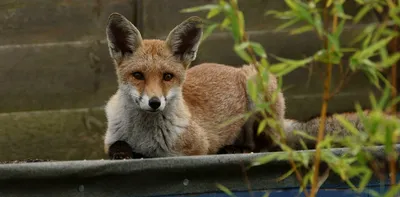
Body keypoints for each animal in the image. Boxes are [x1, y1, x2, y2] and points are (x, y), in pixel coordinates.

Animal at [101, 12, 286, 159]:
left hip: (257, 90)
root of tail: (232, 68)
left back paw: (235, 149)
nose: (154, 102)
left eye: (167, 76)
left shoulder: (197, 147)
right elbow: (117, 145)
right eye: (138, 75)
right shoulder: (110, 139)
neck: (143, 137)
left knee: (265, 147)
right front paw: (123, 152)